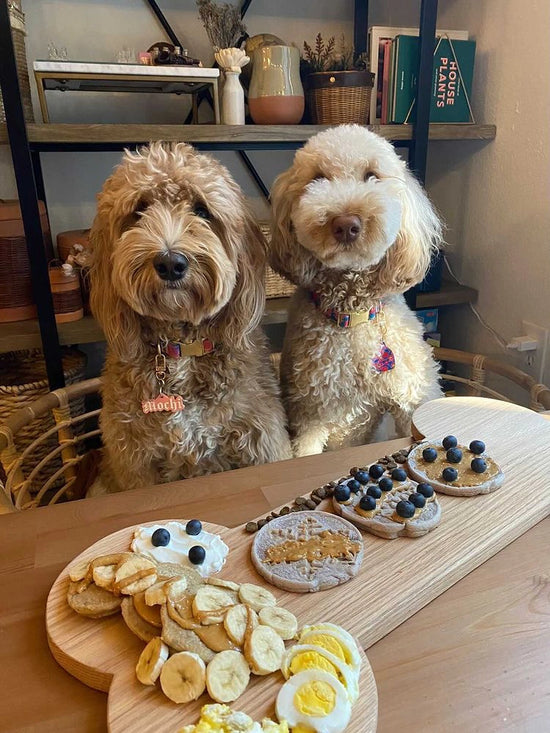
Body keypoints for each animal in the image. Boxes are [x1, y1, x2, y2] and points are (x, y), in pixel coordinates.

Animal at [89, 143, 294, 492]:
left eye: (202, 210)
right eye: (139, 210)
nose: (171, 263)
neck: (181, 349)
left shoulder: (263, 441)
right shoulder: (134, 463)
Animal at [272, 127, 444, 458]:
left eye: (372, 175)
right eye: (317, 178)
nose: (346, 224)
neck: (352, 314)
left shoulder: (412, 396)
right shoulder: (310, 413)